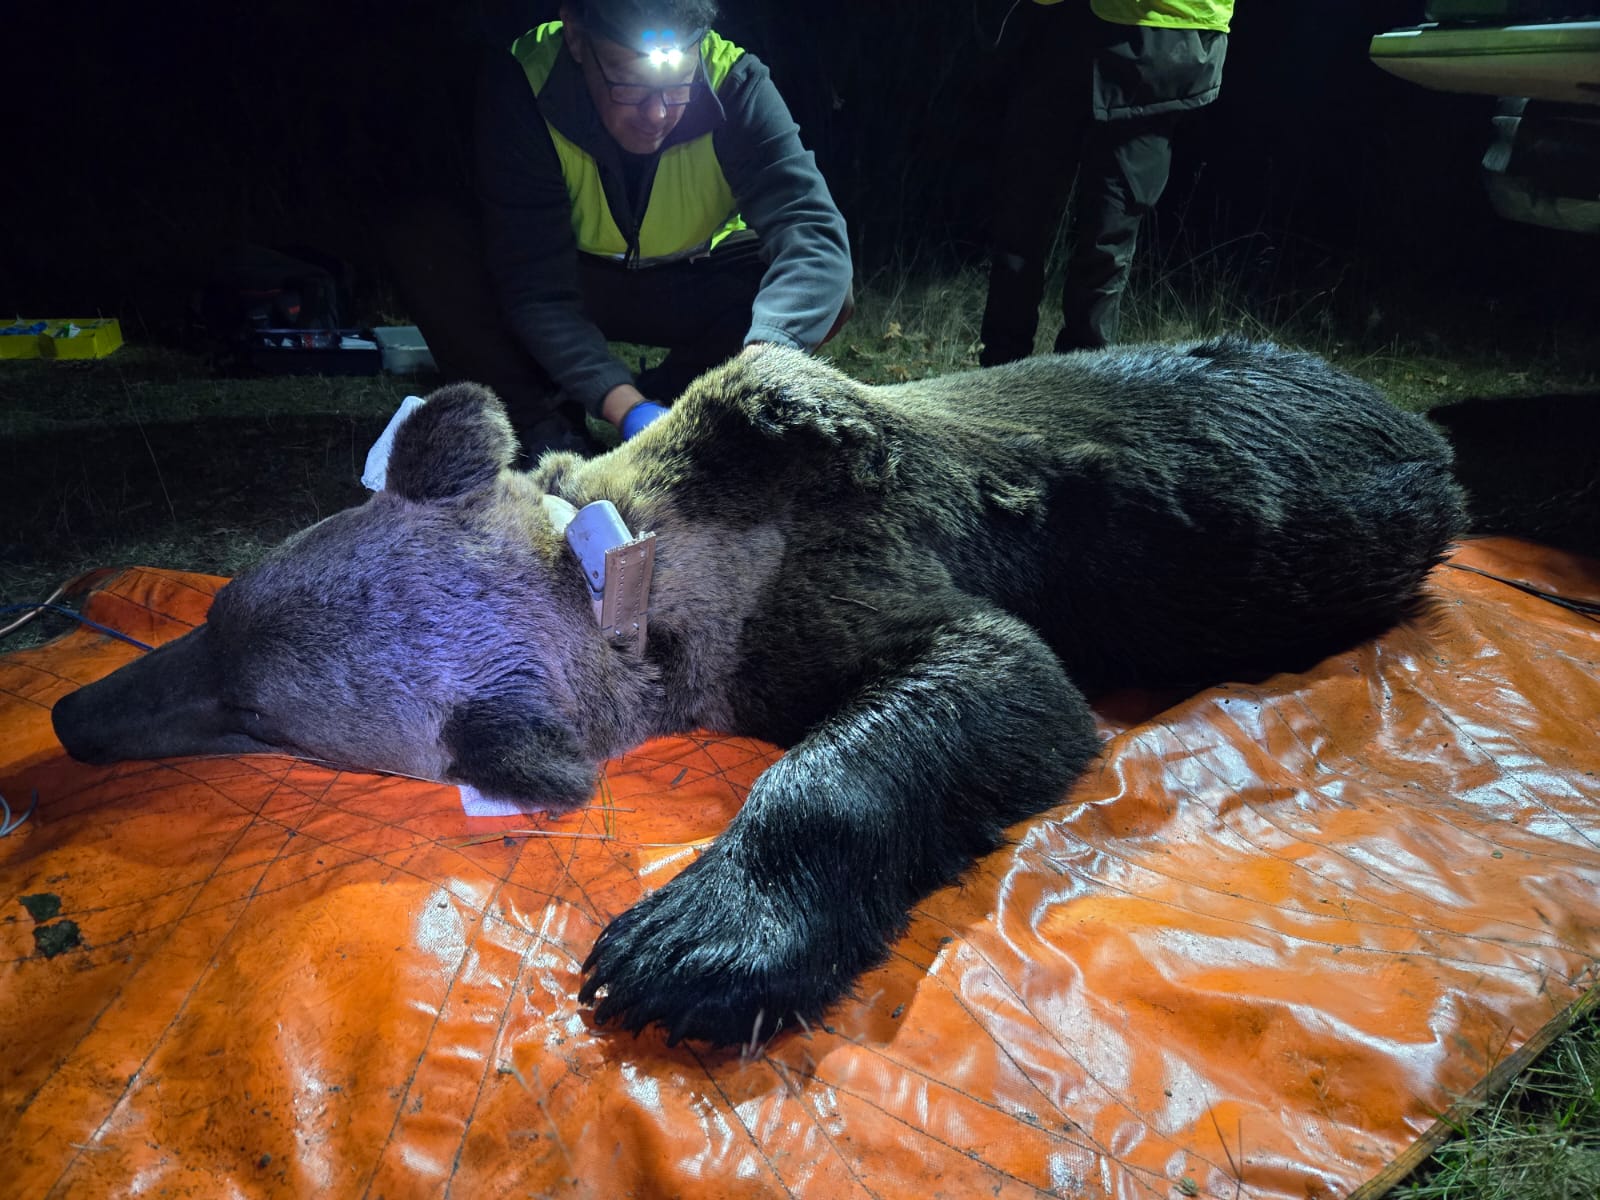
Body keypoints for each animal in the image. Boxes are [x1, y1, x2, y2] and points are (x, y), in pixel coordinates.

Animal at [51, 336, 1467, 1047]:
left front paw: (692, 944)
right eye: (219, 619)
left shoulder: (837, 559)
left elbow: (993, 678)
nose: (71, 716)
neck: (638, 569)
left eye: (252, 712)